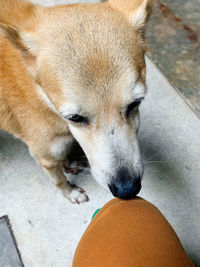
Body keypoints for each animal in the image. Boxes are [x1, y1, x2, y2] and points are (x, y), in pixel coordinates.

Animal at [0, 0, 151, 204]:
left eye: (136, 103)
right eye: (75, 117)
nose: (127, 189)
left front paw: (69, 162)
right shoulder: (45, 156)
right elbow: (59, 180)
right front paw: (70, 192)